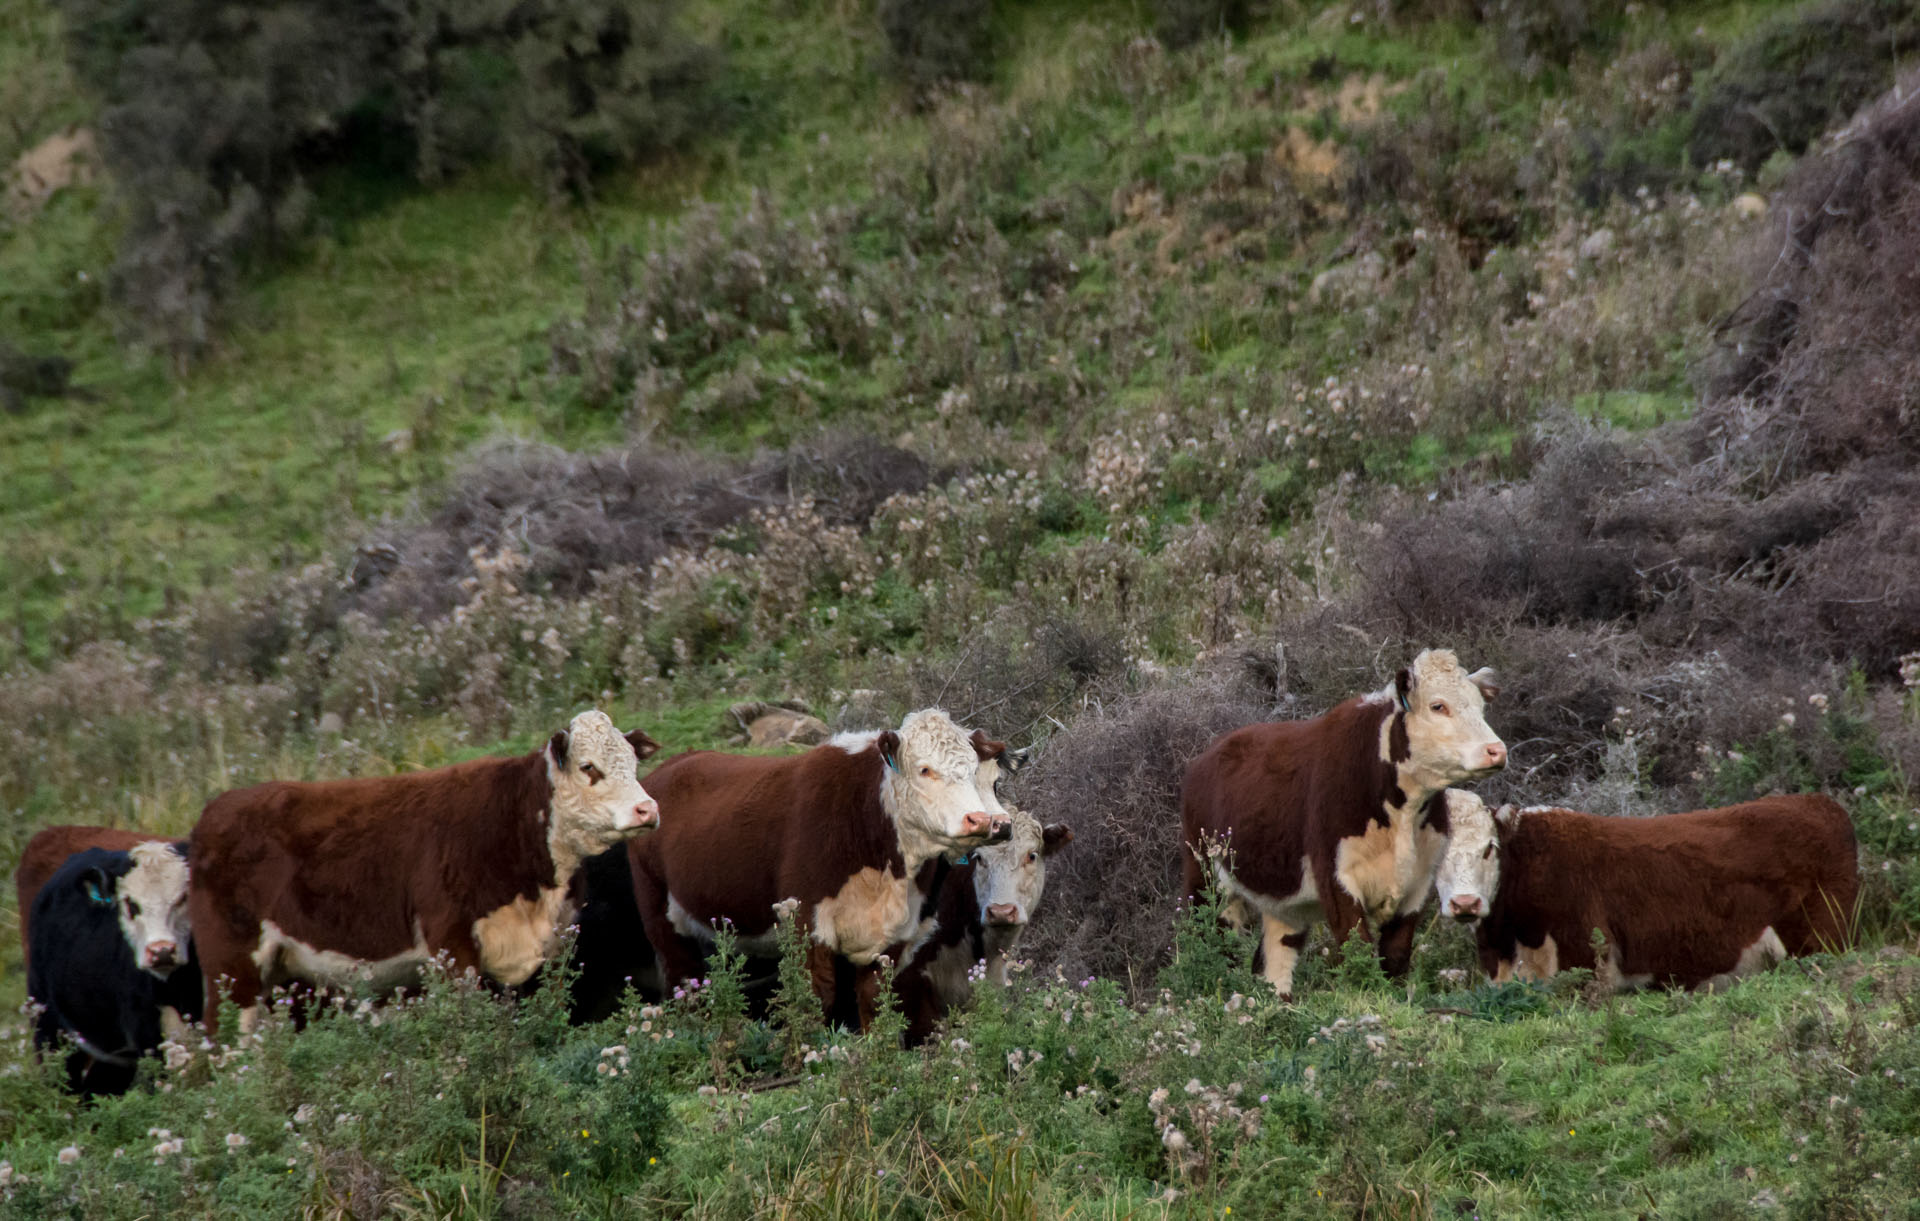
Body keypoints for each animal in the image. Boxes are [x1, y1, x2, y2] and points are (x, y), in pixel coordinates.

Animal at [28, 844, 204, 1096]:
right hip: (50, 1026)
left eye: (182, 898)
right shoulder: (144, 1031)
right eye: (131, 904)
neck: (170, 986)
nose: (161, 950)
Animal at [188, 710, 660, 1034]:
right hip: (232, 972)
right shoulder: (452, 946)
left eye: (634, 763)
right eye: (588, 767)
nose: (647, 808)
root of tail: (215, 811)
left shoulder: (553, 950)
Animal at [626, 708, 1013, 1031]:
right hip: (660, 915)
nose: (982, 820)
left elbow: (875, 1001)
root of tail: (675, 764)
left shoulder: (896, 935)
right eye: (925, 769)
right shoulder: (806, 924)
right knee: (683, 982)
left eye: (977, 772)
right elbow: (815, 997)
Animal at [1180, 648, 1506, 999]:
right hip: (1203, 876)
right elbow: (1357, 951)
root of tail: (1204, 758)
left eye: (1481, 706)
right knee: (1207, 940)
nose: (1496, 751)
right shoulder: (1337, 877)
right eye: (1438, 705)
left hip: (1284, 905)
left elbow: (1395, 957)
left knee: (1273, 960)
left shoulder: (1419, 884)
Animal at [1433, 793, 1859, 992]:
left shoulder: (1590, 969)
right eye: (1435, 856)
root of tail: (1819, 803)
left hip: (1821, 940)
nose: (1465, 903)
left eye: (1489, 848)